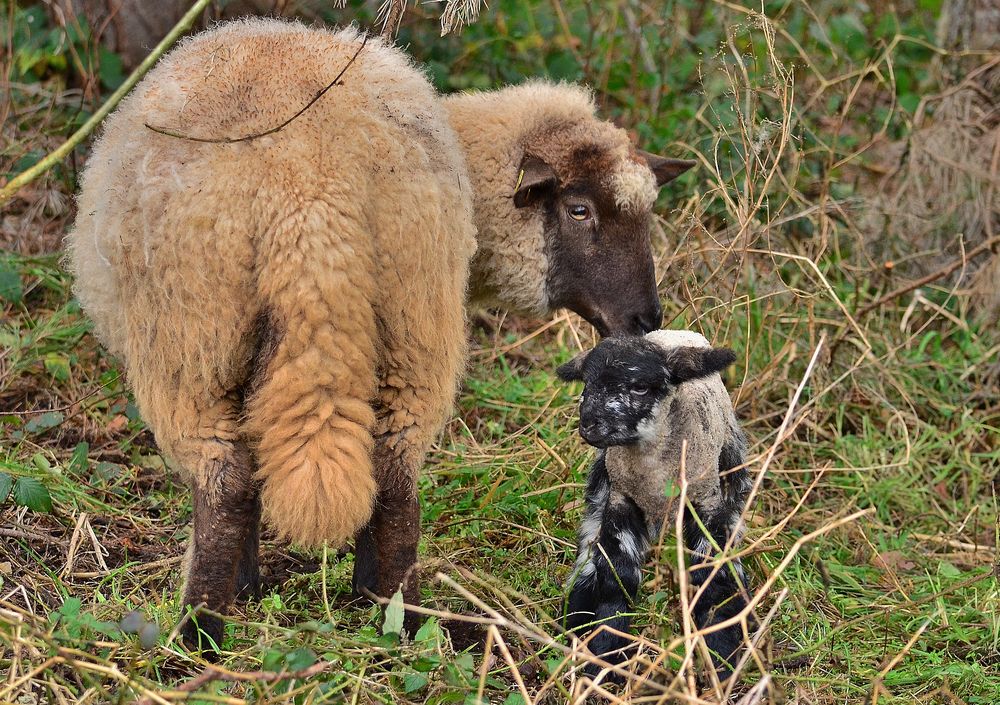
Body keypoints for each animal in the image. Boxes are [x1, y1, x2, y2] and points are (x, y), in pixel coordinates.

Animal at [68, 19, 696, 648]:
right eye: (579, 209)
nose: (646, 319)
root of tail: (307, 188)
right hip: (413, 310)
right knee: (394, 476)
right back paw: (395, 614)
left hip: (192, 337)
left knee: (226, 485)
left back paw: (200, 633)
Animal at [560, 332, 752, 680]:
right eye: (586, 383)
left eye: (640, 387)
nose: (589, 425)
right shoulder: (621, 500)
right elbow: (618, 575)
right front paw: (604, 650)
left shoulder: (705, 502)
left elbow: (710, 578)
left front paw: (721, 654)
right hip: (603, 480)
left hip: (730, 464)